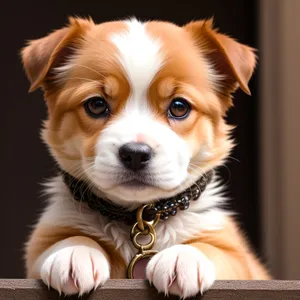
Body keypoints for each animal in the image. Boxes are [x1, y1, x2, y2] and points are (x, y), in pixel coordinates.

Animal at [20, 17, 270, 298]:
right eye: (96, 104)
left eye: (179, 107)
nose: (135, 154)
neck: (137, 220)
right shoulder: (43, 242)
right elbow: (66, 238)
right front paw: (74, 252)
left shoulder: (240, 260)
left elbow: (212, 249)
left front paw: (182, 258)